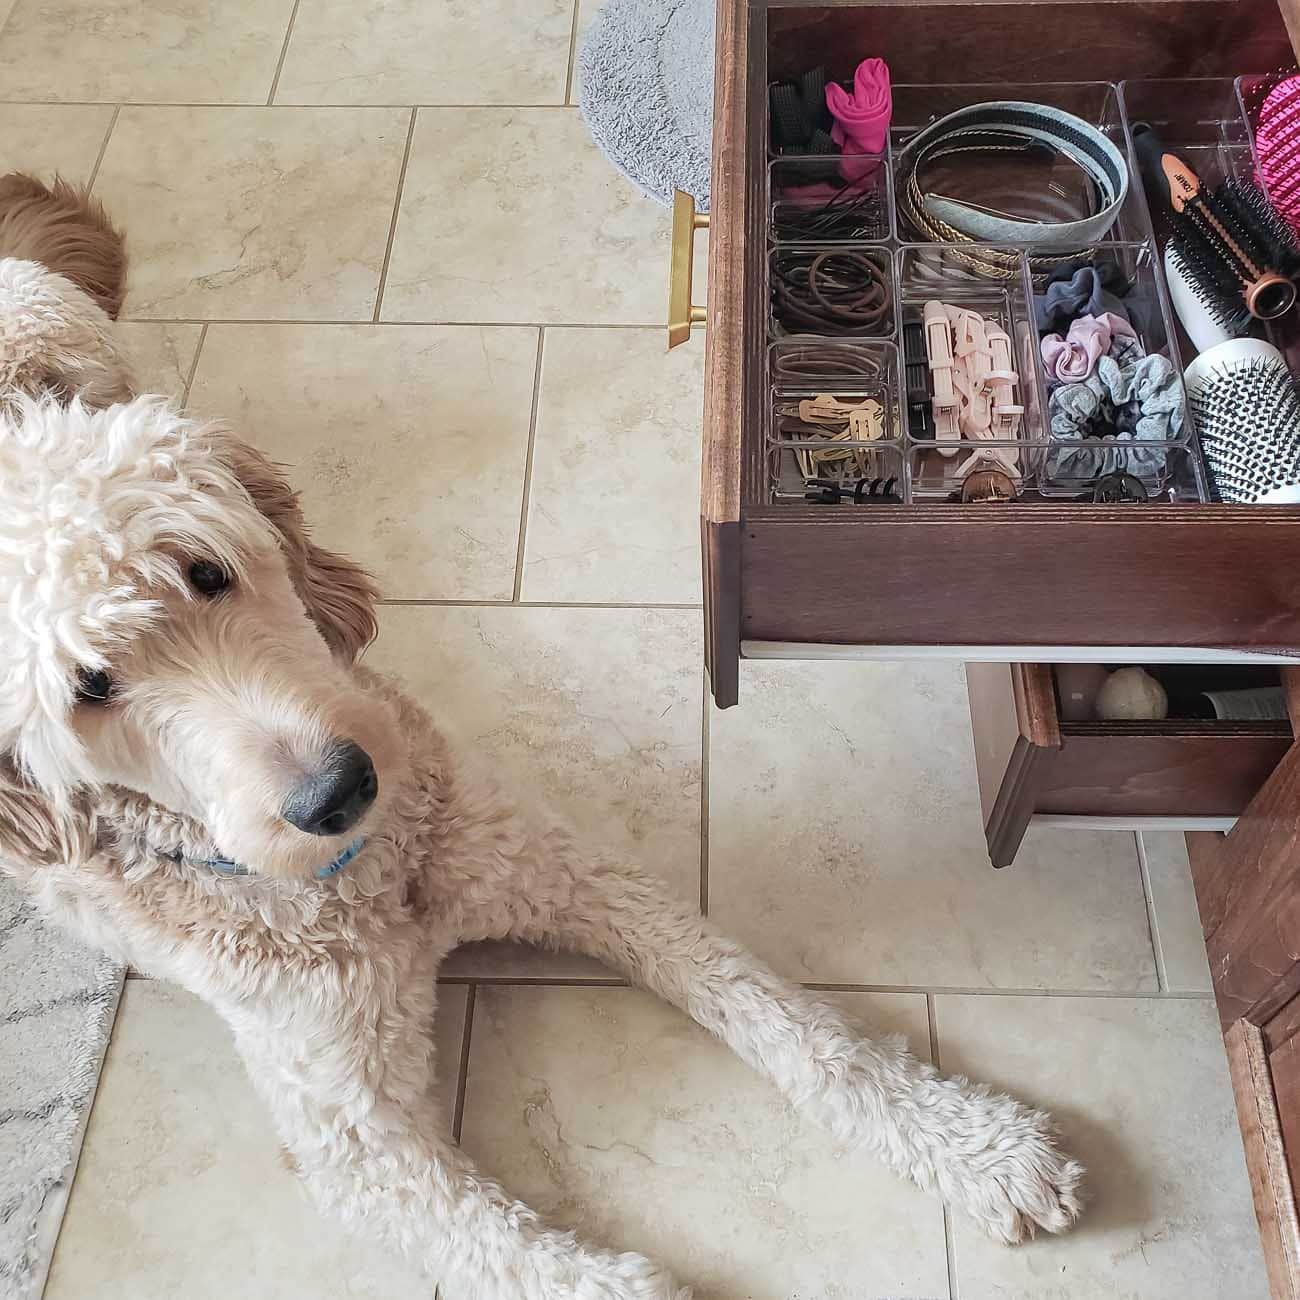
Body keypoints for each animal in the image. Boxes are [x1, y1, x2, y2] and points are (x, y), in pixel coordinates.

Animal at [0, 175, 1076, 1300]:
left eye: (205, 570)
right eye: (91, 688)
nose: (339, 791)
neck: (370, 886)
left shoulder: (574, 879)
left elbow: (793, 1024)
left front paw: (967, 1142)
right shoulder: (358, 1140)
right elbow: (526, 1258)